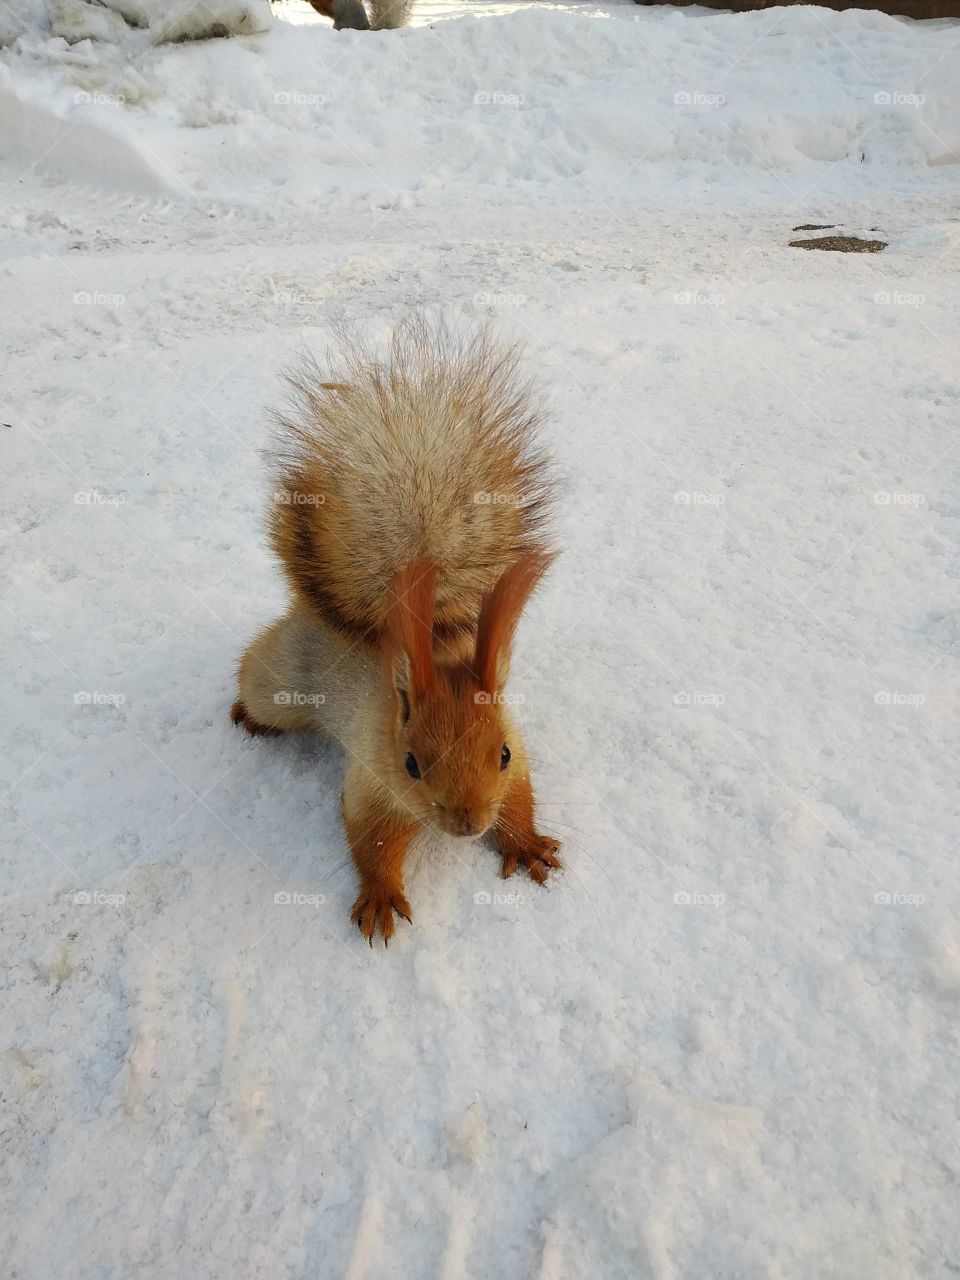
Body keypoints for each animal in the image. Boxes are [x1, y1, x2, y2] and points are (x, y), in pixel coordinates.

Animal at [231, 318, 562, 945]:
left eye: (503, 753)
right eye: (412, 763)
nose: (468, 824)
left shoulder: (521, 757)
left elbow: (521, 801)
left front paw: (528, 843)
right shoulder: (373, 782)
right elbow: (373, 842)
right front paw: (381, 897)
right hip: (279, 684)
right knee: (256, 683)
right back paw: (242, 713)